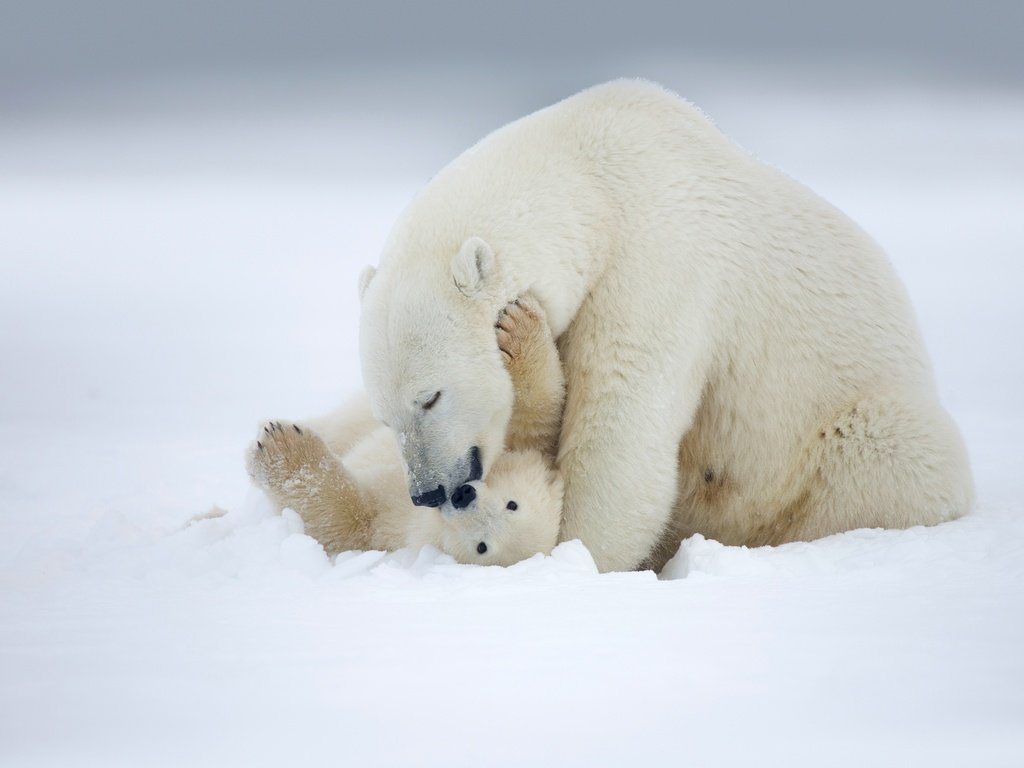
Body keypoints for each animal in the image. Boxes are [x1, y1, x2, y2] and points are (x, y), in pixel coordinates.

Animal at [248, 296, 569, 569]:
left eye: (483, 546)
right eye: (512, 504)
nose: (462, 495)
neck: (426, 516)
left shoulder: (392, 527)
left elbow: (345, 520)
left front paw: (282, 449)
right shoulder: (515, 442)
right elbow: (535, 415)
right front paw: (517, 325)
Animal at [358, 79, 974, 573]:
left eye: (431, 397)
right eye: (387, 415)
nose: (429, 491)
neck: (594, 180)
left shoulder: (658, 263)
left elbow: (621, 427)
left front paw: (574, 556)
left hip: (851, 430)